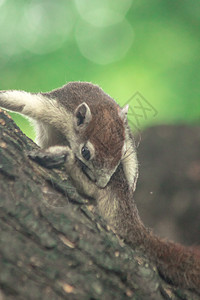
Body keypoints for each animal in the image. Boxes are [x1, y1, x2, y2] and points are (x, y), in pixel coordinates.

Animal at [0, 81, 199, 292]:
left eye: (121, 154)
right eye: (86, 152)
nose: (103, 183)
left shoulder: (125, 135)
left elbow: (132, 160)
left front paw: (132, 180)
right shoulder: (51, 105)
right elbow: (20, 101)